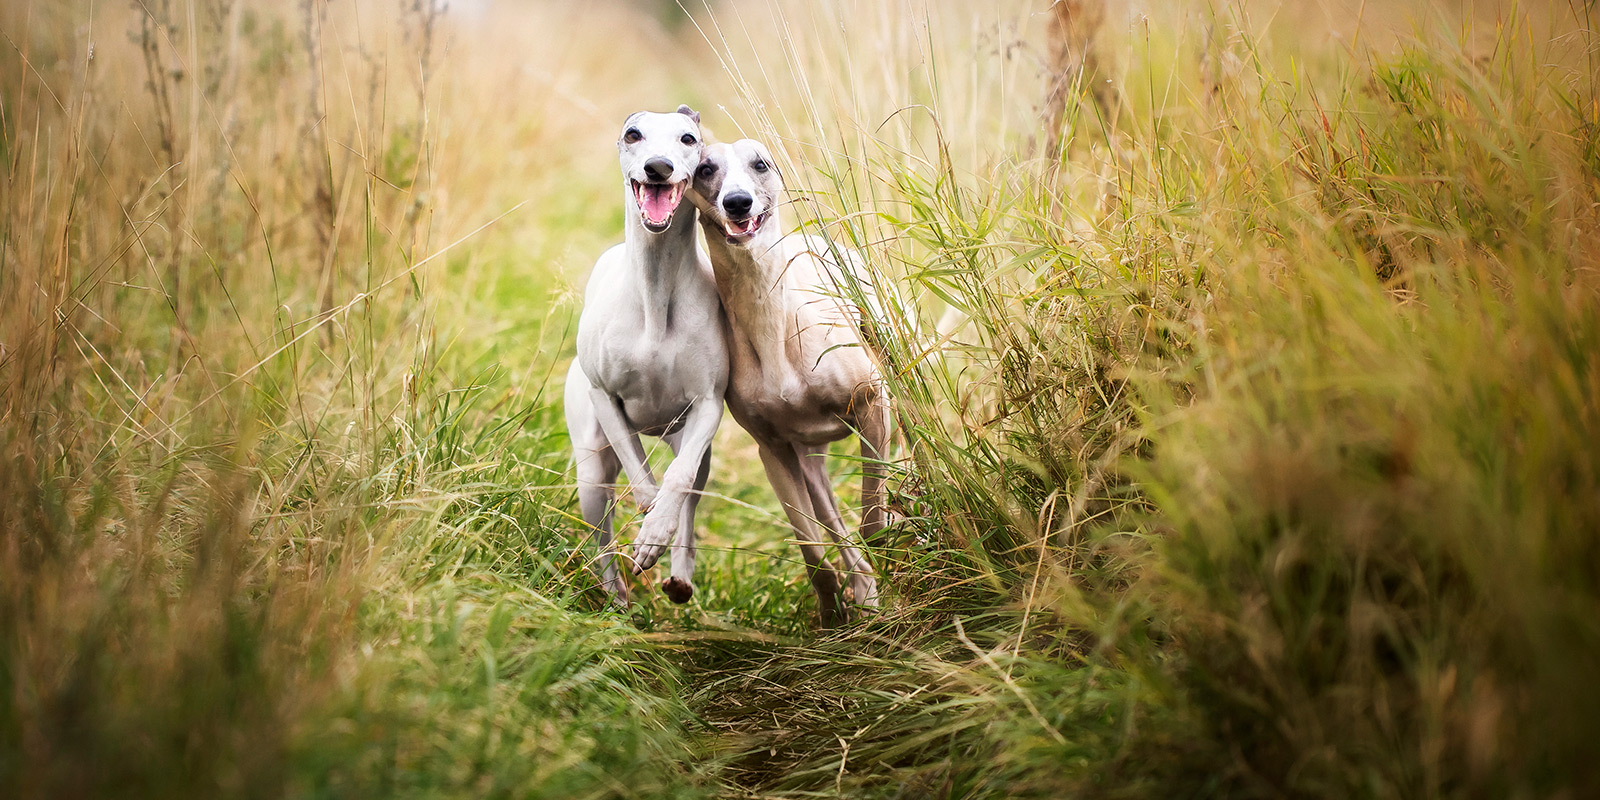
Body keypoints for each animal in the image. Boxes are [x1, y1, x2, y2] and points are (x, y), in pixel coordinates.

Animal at [563, 106, 726, 604]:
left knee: (689, 491)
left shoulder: (708, 405)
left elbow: (677, 481)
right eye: (633, 134)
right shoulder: (604, 397)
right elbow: (638, 471)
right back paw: (616, 596)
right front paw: (649, 515)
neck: (655, 287)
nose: (658, 167)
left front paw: (657, 531)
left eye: (688, 138)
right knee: (602, 535)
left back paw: (678, 572)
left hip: (693, 444)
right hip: (590, 469)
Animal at [688, 139, 889, 624]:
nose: (737, 202)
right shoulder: (773, 451)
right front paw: (831, 616)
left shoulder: (872, 404)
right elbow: (812, 550)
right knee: (833, 523)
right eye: (705, 169)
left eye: (760, 164)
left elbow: (872, 517)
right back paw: (863, 593)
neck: (769, 315)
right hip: (808, 460)